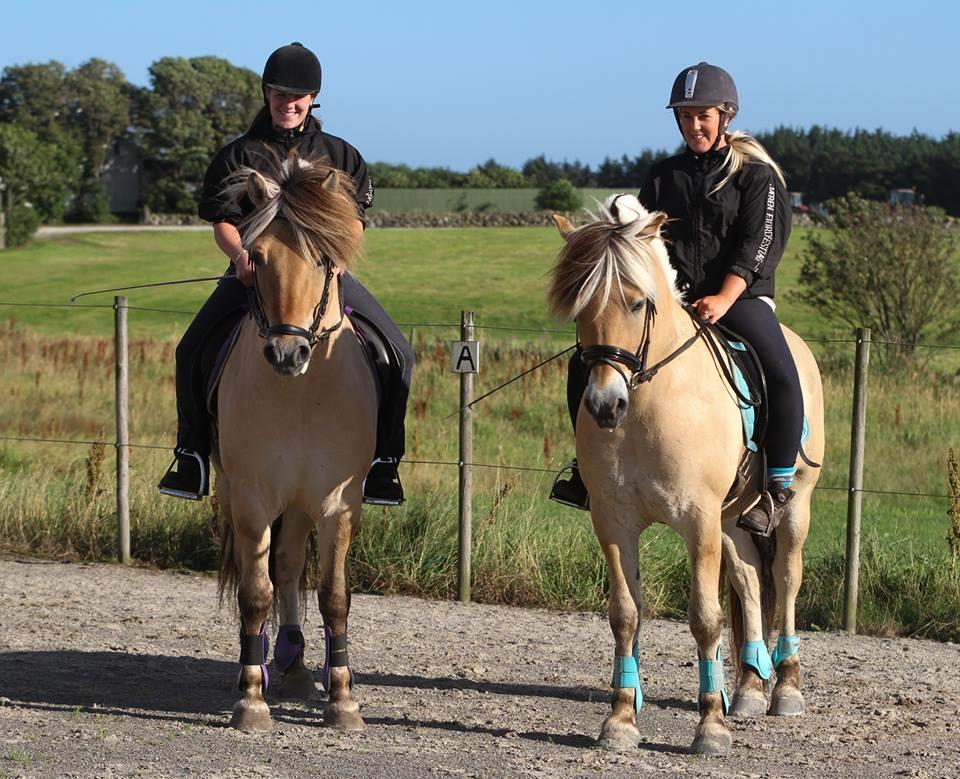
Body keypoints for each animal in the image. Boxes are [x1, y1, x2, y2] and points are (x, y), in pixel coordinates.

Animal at [214, 151, 376, 732]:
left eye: (323, 258)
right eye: (255, 258)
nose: (288, 354)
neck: (302, 394)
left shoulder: (338, 502)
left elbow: (334, 596)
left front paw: (343, 699)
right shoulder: (250, 497)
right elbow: (254, 593)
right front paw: (250, 699)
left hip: (303, 503)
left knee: (286, 564)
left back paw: (300, 667)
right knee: (269, 573)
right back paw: (267, 664)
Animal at [548, 195, 824, 756]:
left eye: (637, 303)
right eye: (580, 308)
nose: (605, 405)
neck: (649, 402)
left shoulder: (697, 520)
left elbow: (704, 618)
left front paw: (710, 727)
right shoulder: (614, 522)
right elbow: (625, 614)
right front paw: (621, 719)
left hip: (792, 510)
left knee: (785, 579)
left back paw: (785, 688)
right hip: (733, 518)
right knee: (748, 578)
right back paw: (749, 688)